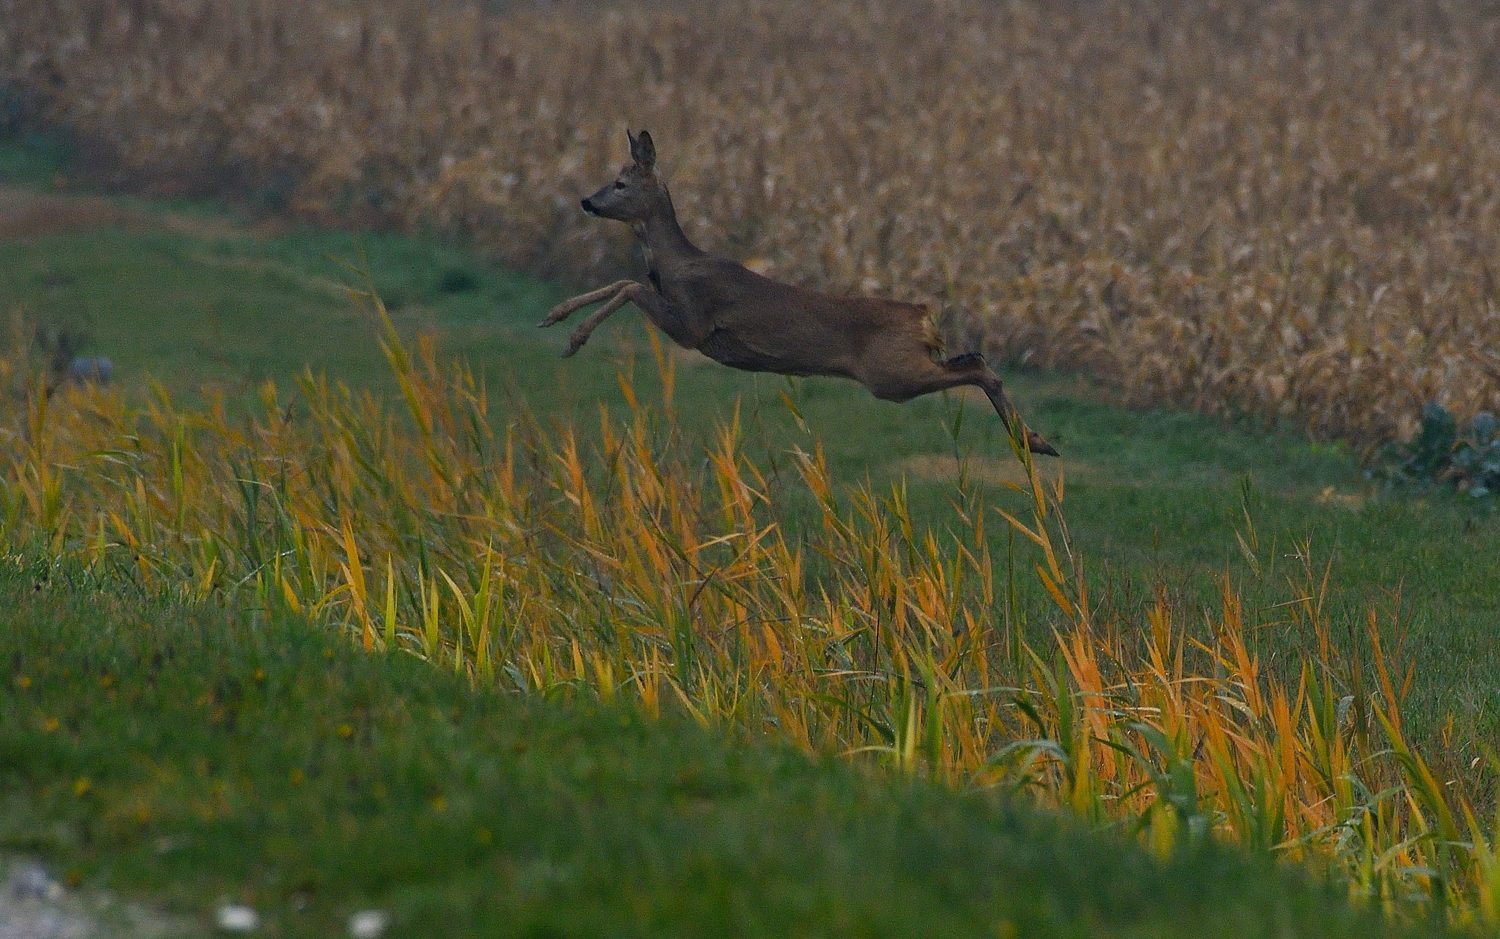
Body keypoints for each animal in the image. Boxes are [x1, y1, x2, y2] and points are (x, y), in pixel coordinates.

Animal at [538, 130, 1058, 457]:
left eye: (620, 183)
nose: (586, 201)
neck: (675, 264)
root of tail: (923, 315)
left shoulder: (695, 324)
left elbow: (628, 286)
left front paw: (573, 339)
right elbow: (621, 283)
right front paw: (554, 316)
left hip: (891, 375)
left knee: (979, 368)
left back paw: (1033, 441)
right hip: (905, 367)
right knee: (974, 359)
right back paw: (1036, 440)